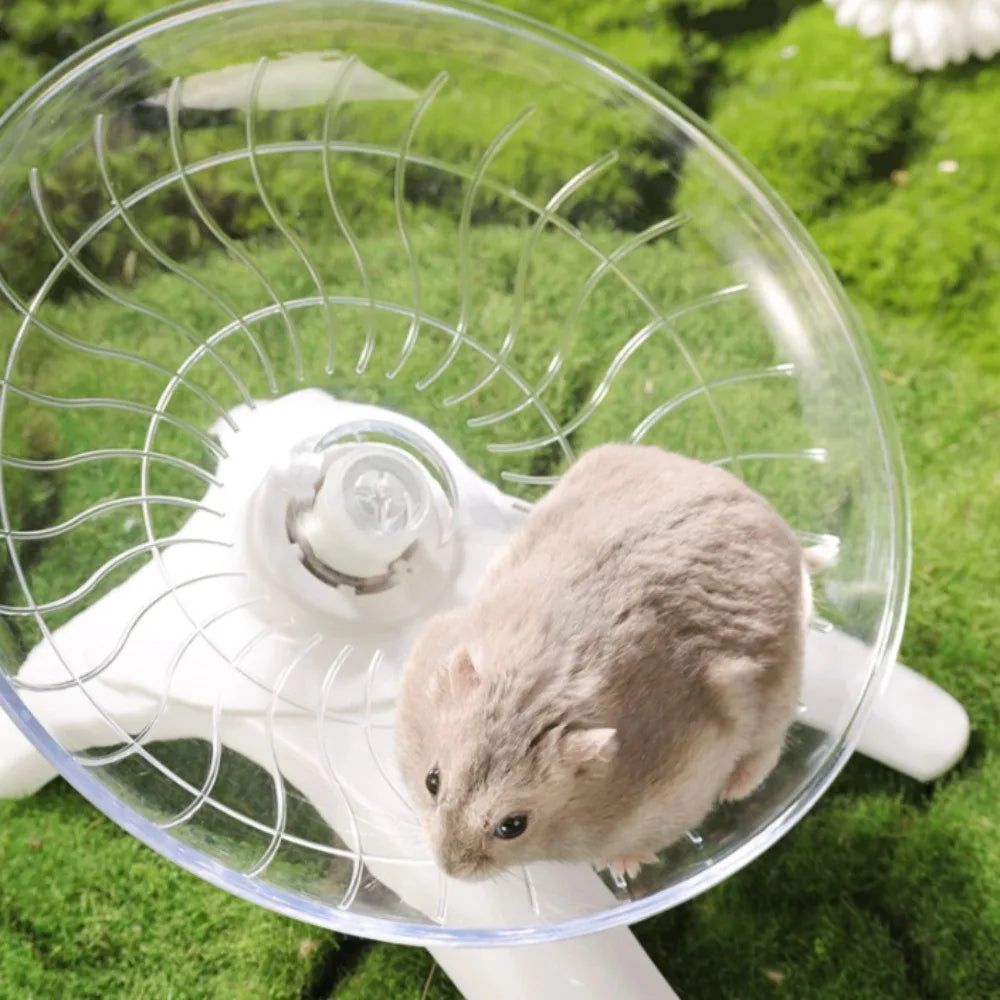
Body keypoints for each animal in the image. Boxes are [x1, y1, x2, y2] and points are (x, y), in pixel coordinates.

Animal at [395, 443, 828, 881]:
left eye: (513, 825)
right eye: (432, 781)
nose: (448, 870)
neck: (533, 698)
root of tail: (786, 534)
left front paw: (623, 869)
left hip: (779, 690)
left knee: (768, 750)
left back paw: (734, 789)